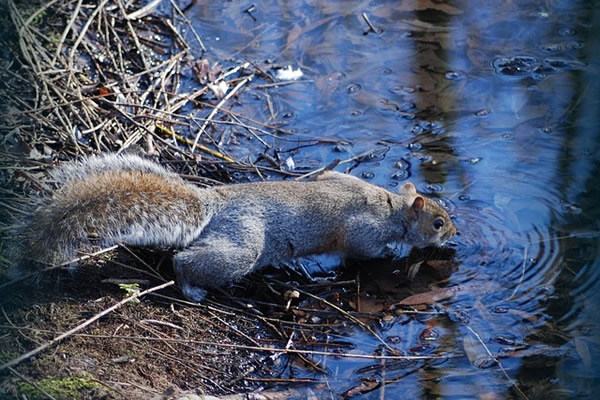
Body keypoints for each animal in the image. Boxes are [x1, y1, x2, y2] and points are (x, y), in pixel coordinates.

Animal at [14, 152, 458, 300]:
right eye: (438, 222)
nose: (455, 235)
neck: (393, 207)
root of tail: (213, 205)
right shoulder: (363, 228)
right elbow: (362, 248)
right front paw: (397, 251)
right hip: (243, 244)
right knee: (185, 261)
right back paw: (191, 288)